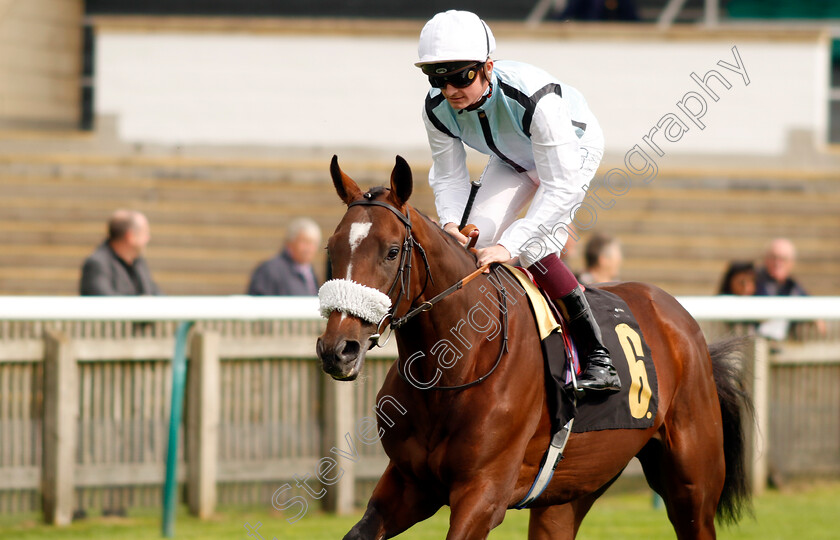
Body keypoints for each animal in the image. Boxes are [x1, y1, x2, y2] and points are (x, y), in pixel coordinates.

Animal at [316, 154, 748, 536]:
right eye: (331, 248)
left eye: (392, 251)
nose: (338, 349)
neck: (453, 369)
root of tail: (683, 321)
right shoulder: (409, 484)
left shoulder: (483, 493)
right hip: (572, 490)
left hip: (692, 486)